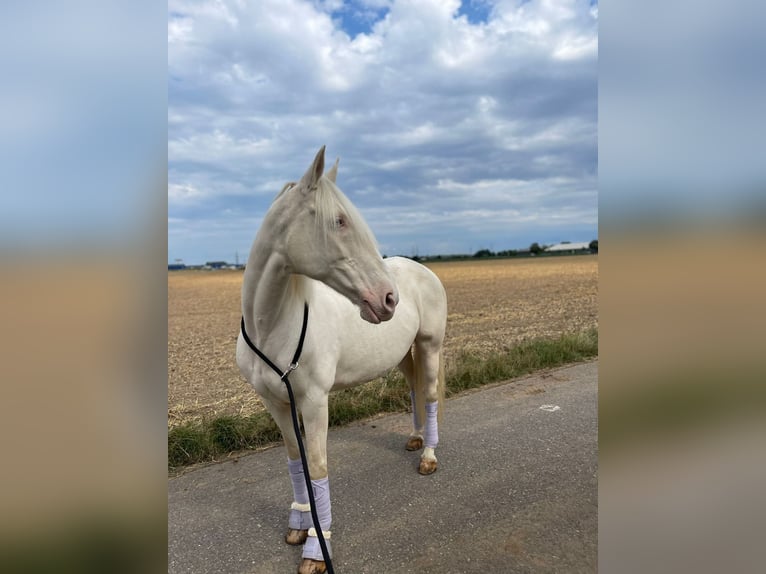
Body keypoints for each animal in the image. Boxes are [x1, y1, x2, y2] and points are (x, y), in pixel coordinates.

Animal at [237, 145, 448, 574]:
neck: (272, 325)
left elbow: (318, 468)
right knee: (415, 390)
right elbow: (295, 460)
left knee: (431, 395)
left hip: (430, 346)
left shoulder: (315, 402)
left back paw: (429, 456)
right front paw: (298, 523)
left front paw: (317, 550)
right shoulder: (276, 403)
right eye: (339, 221)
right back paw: (416, 439)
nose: (389, 299)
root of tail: (423, 270)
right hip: (403, 355)